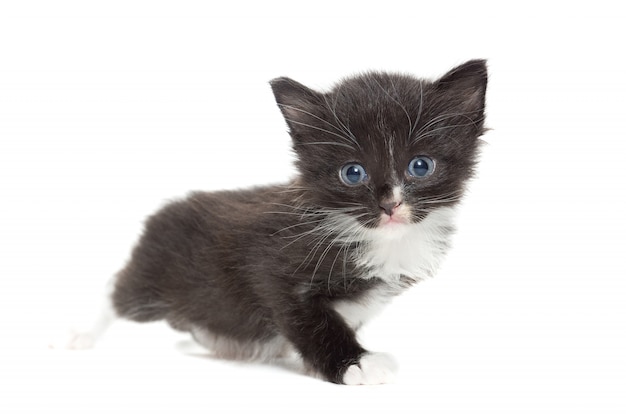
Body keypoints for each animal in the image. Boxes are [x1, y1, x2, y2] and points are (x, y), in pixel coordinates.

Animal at [68, 61, 488, 384]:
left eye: (421, 166)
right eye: (352, 173)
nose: (390, 205)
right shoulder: (275, 270)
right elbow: (312, 321)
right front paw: (355, 363)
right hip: (153, 278)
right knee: (116, 291)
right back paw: (80, 336)